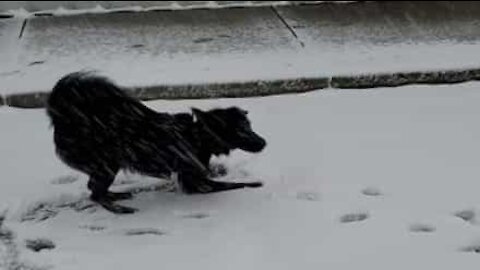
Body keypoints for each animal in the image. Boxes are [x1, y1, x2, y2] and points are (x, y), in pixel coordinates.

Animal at [46, 71, 266, 213]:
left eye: (249, 126)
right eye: (240, 131)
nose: (264, 142)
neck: (197, 137)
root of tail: (62, 117)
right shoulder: (196, 183)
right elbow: (233, 184)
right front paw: (254, 183)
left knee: (94, 189)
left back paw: (115, 196)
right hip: (107, 163)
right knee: (94, 192)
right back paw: (118, 208)